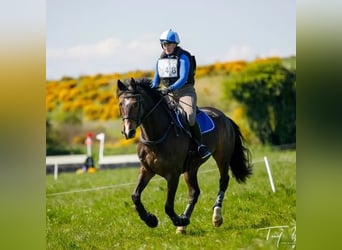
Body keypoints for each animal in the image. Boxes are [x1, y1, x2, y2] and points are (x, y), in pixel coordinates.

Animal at [116, 78, 252, 234]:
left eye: (136, 104)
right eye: (120, 104)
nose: (129, 131)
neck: (156, 136)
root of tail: (224, 116)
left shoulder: (172, 174)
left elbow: (168, 206)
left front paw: (177, 220)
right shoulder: (147, 170)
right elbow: (135, 196)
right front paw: (151, 220)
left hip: (222, 158)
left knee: (223, 181)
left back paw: (216, 217)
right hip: (191, 168)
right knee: (194, 192)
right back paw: (184, 222)